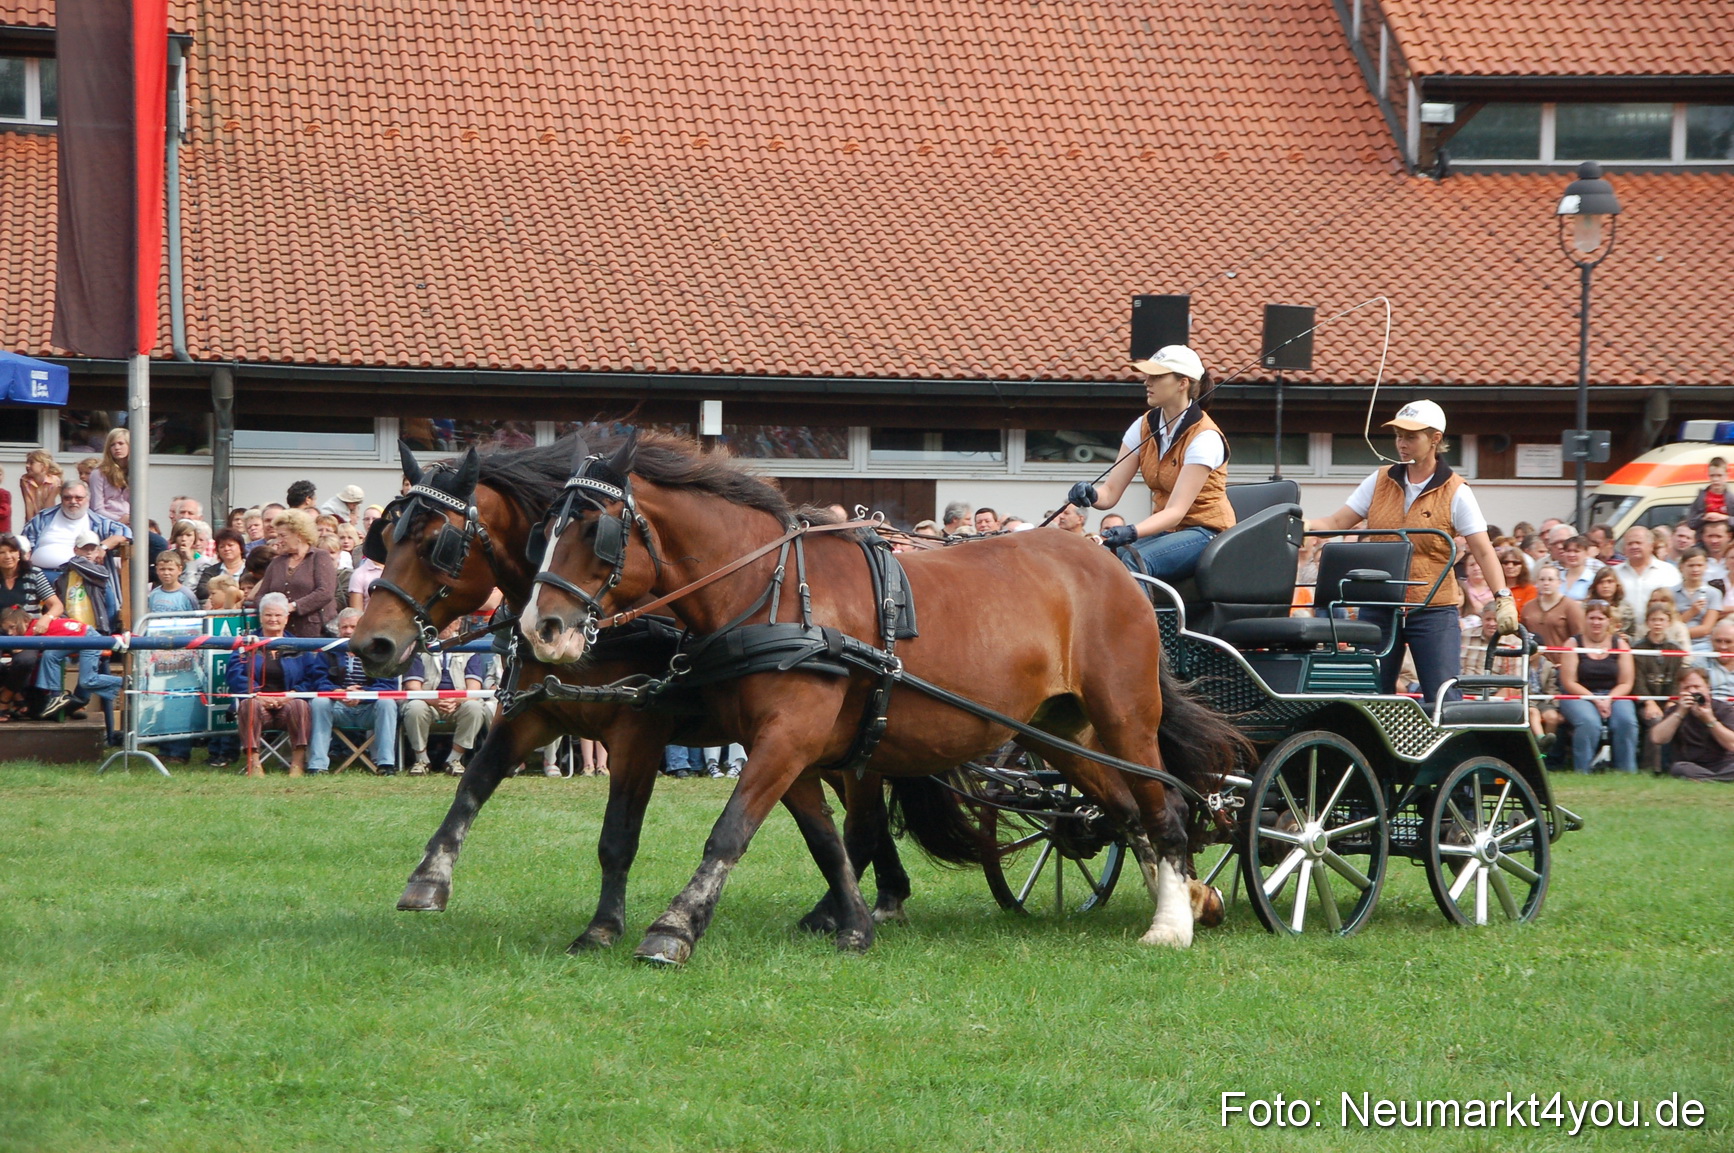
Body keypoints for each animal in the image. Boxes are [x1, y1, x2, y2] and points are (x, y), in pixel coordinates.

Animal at [348, 439, 923, 950]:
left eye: (435, 544)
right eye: (387, 537)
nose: (370, 644)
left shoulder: (637, 732)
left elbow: (618, 835)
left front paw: (604, 928)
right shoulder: (533, 714)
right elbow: (473, 784)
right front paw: (429, 878)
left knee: (863, 823)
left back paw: (852, 908)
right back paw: (877, 900)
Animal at [519, 431, 1251, 965]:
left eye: (592, 529)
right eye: (544, 530)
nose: (538, 627)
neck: (773, 588)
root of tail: (1109, 560)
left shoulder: (788, 738)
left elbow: (732, 830)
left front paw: (673, 929)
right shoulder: (789, 749)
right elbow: (831, 841)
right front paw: (852, 924)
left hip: (1125, 715)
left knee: (1162, 805)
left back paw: (1171, 924)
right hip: (1058, 732)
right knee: (1125, 808)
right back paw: (1187, 897)